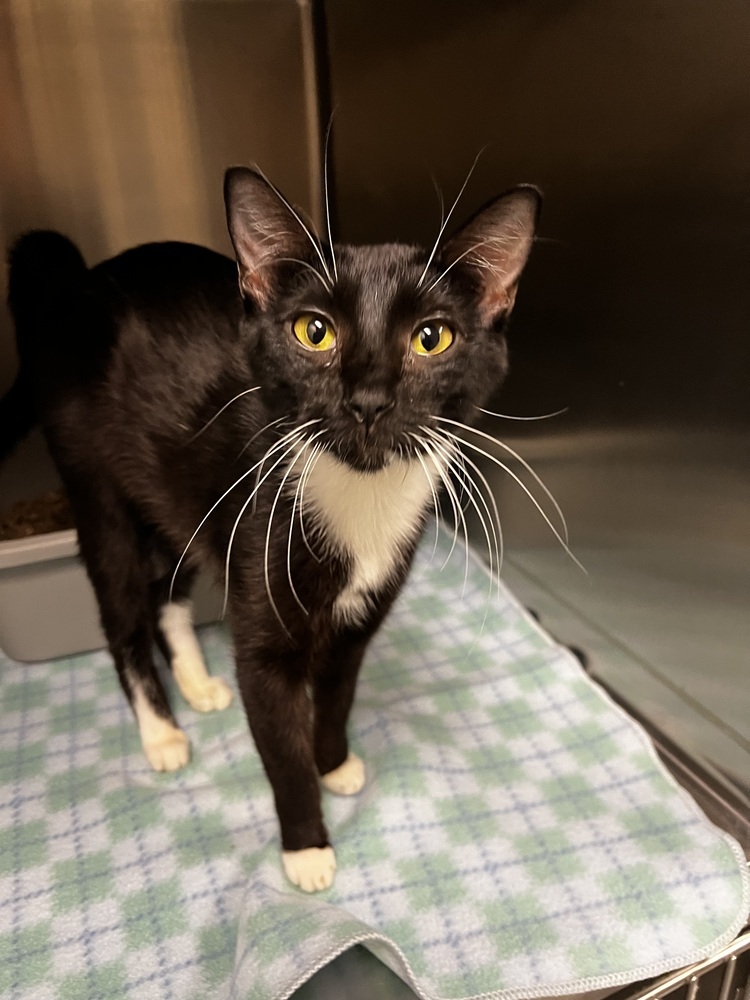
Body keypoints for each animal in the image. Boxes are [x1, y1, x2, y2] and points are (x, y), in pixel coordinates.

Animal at [1, 168, 540, 896]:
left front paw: (334, 762)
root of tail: (80, 283)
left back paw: (198, 685)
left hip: (179, 489)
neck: (359, 501)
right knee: (121, 608)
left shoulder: (359, 619)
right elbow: (279, 744)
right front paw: (307, 847)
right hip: (93, 479)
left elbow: (337, 693)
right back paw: (161, 732)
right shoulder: (262, 610)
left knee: (167, 587)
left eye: (433, 338)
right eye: (314, 332)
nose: (368, 401)